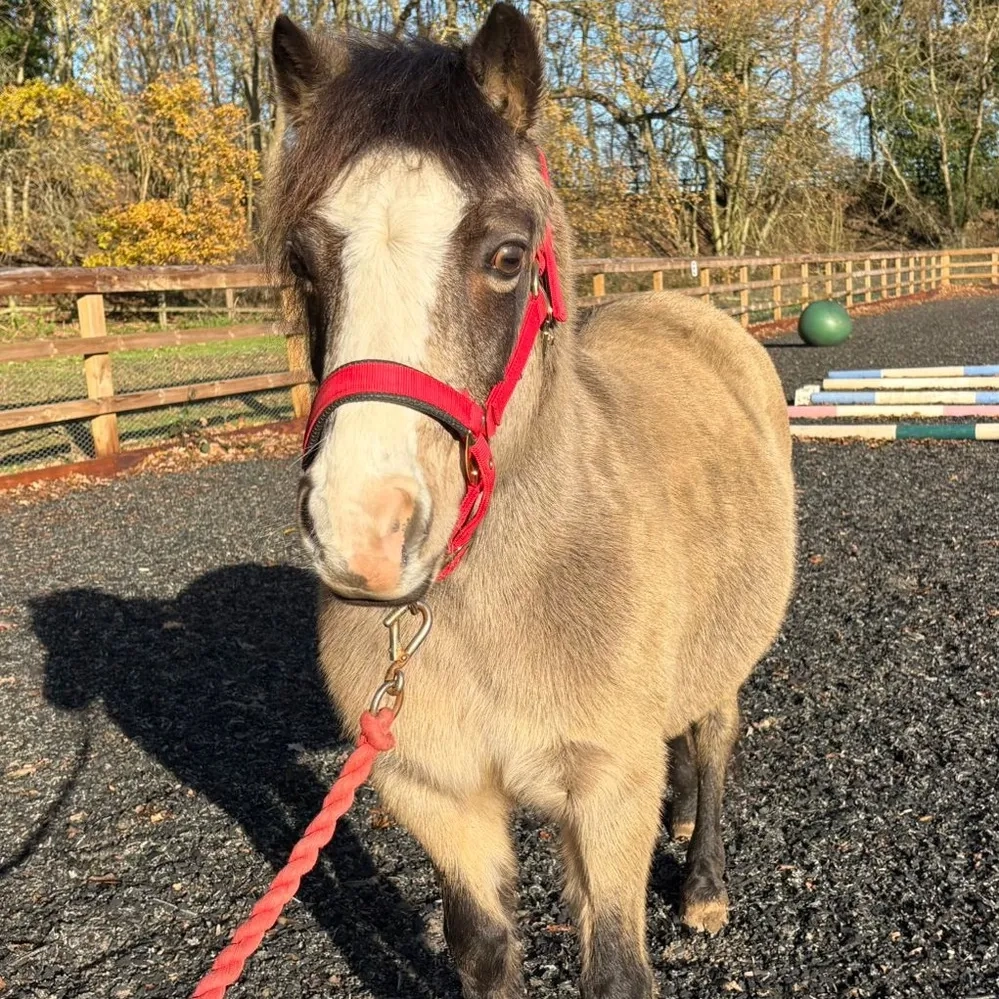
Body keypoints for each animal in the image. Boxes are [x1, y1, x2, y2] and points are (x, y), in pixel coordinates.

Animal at [264, 5, 796, 996]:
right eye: (304, 263)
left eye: (507, 257)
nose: (364, 532)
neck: (499, 602)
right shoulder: (435, 789)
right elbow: (480, 944)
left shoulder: (604, 789)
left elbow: (616, 966)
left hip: (726, 650)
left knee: (711, 736)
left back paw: (702, 878)